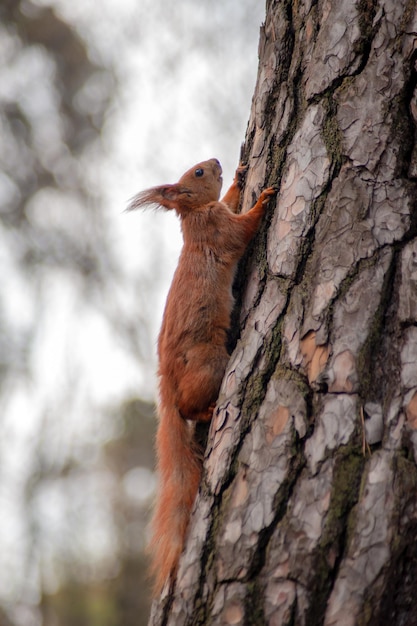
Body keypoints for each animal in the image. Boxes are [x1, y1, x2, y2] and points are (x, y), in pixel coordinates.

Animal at [128, 160, 274, 588]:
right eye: (196, 173)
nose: (217, 163)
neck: (194, 215)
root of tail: (166, 380)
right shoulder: (219, 229)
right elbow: (243, 228)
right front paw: (262, 200)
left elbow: (231, 201)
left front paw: (241, 177)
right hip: (210, 365)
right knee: (188, 406)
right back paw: (206, 412)